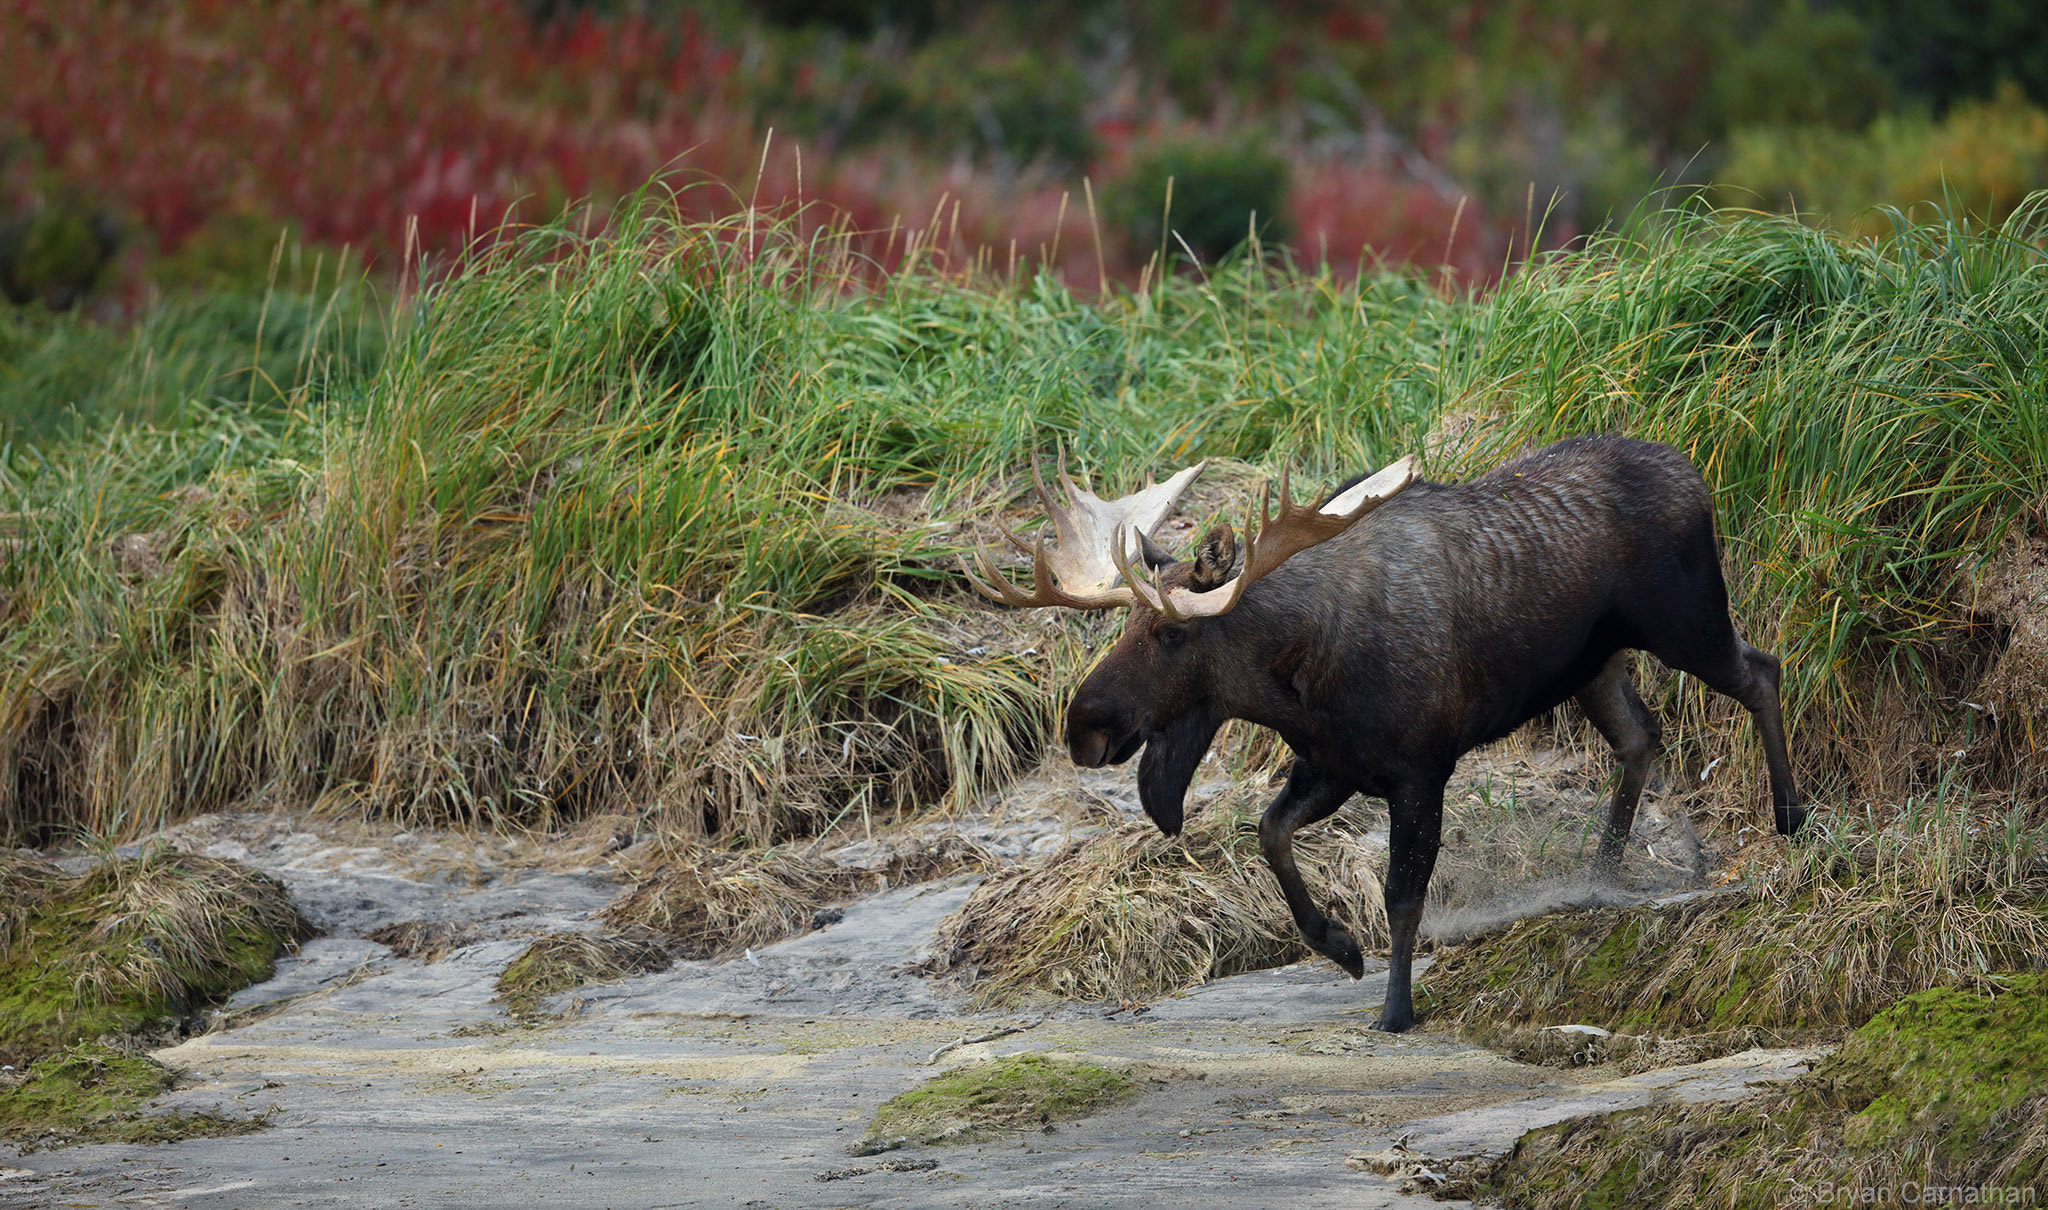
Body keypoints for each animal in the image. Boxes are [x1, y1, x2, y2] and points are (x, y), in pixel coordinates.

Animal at [961, 435, 1803, 1033]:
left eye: (1171, 634)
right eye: (1126, 623)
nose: (1083, 728)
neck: (1300, 677)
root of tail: (1696, 475)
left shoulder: (1420, 767)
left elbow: (1404, 892)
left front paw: (1396, 1008)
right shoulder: (1332, 764)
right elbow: (1270, 834)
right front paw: (1338, 946)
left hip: (1686, 620)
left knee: (1764, 670)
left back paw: (1790, 816)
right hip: (1594, 665)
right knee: (1640, 737)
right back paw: (1601, 872)